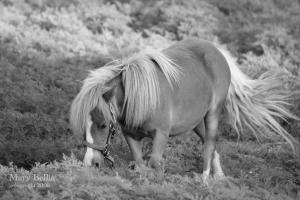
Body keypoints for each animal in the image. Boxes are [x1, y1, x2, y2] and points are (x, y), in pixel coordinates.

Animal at [70, 39, 298, 181]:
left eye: (102, 125)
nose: (90, 163)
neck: (139, 97)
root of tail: (217, 52)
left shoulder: (161, 134)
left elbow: (155, 162)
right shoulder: (131, 136)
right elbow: (140, 164)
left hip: (213, 114)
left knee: (209, 144)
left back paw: (205, 179)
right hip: (196, 123)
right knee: (210, 145)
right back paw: (219, 176)